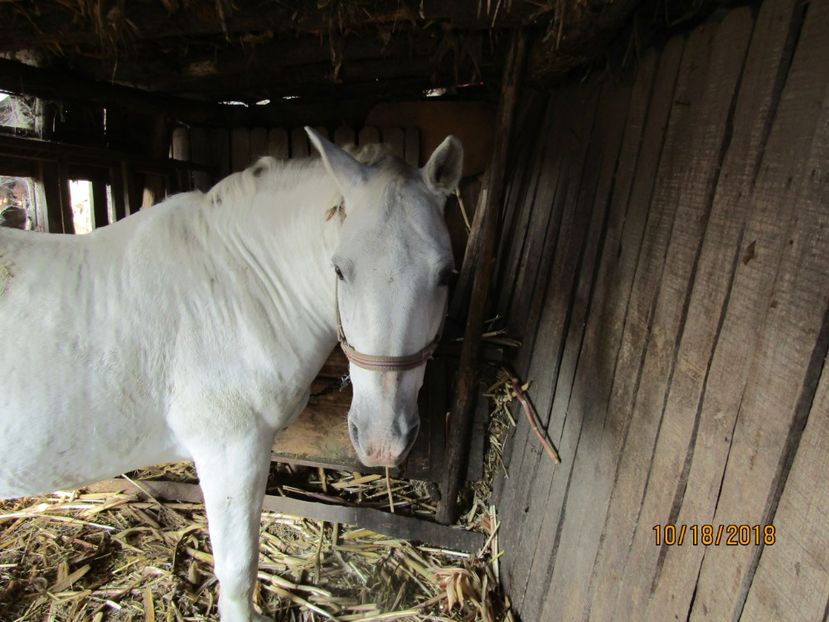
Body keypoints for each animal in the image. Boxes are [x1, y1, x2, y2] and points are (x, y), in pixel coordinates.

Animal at [0, 129, 462, 620]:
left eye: (446, 275)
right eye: (340, 270)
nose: (382, 441)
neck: (234, 287)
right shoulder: (228, 449)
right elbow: (238, 569)